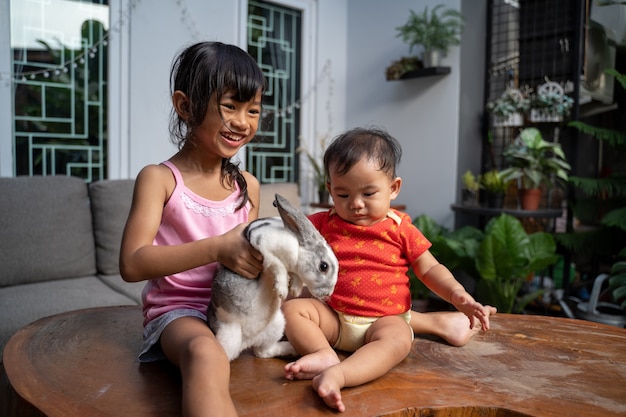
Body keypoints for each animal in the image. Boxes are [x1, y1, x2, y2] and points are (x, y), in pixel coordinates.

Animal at [207, 193, 336, 360]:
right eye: (324, 266)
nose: (327, 294)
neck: (296, 248)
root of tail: (247, 341)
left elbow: (295, 275)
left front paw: (294, 290)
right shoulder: (264, 248)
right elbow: (278, 266)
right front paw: (282, 290)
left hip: (277, 324)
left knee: (263, 352)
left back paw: (291, 349)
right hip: (229, 335)